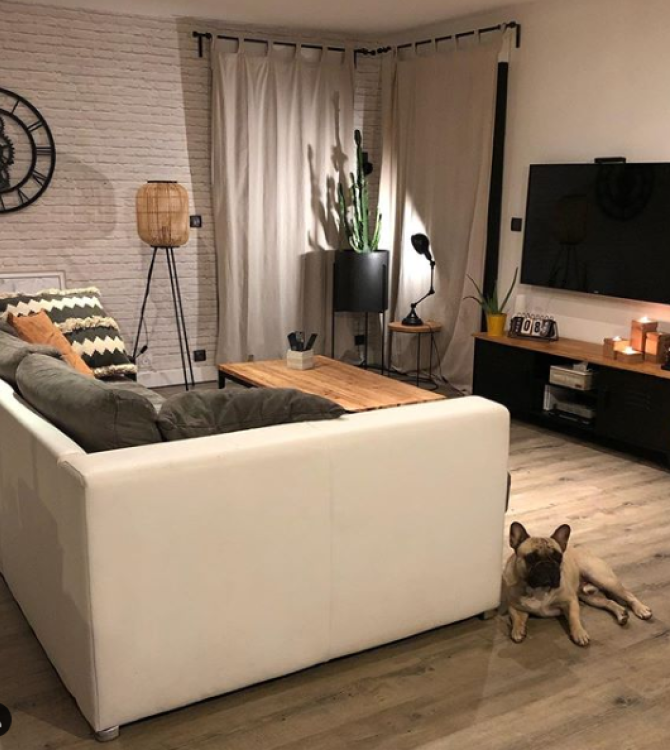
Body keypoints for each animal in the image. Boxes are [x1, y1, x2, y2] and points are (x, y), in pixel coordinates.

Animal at [503, 522, 652, 647]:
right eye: (531, 557)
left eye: (558, 557)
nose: (548, 565)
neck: (538, 589)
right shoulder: (513, 605)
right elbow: (516, 618)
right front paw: (517, 630)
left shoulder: (571, 601)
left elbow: (574, 618)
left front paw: (579, 633)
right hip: (588, 596)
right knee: (608, 601)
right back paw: (621, 614)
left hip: (602, 578)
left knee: (628, 594)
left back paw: (641, 609)